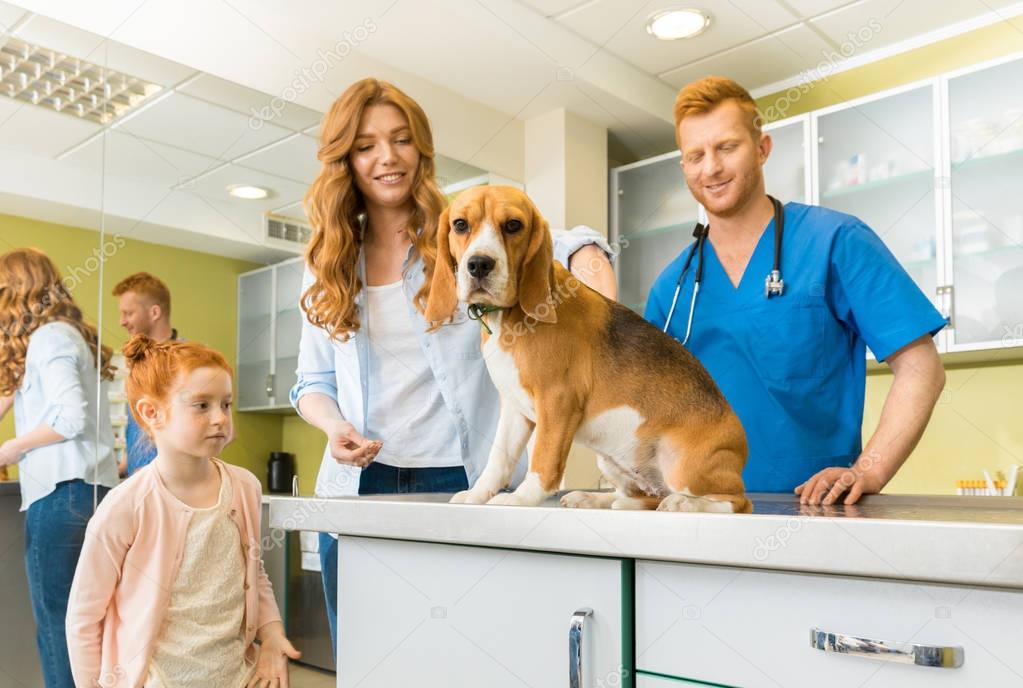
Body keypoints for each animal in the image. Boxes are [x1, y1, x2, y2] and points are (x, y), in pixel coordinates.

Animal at [423, 185, 752, 513]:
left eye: (513, 225)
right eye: (460, 225)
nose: (479, 264)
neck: (508, 316)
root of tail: (740, 443)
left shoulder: (557, 399)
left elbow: (544, 459)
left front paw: (522, 498)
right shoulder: (514, 410)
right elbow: (498, 460)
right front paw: (478, 494)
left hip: (681, 464)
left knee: (737, 502)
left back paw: (684, 504)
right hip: (612, 462)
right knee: (642, 497)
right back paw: (602, 499)